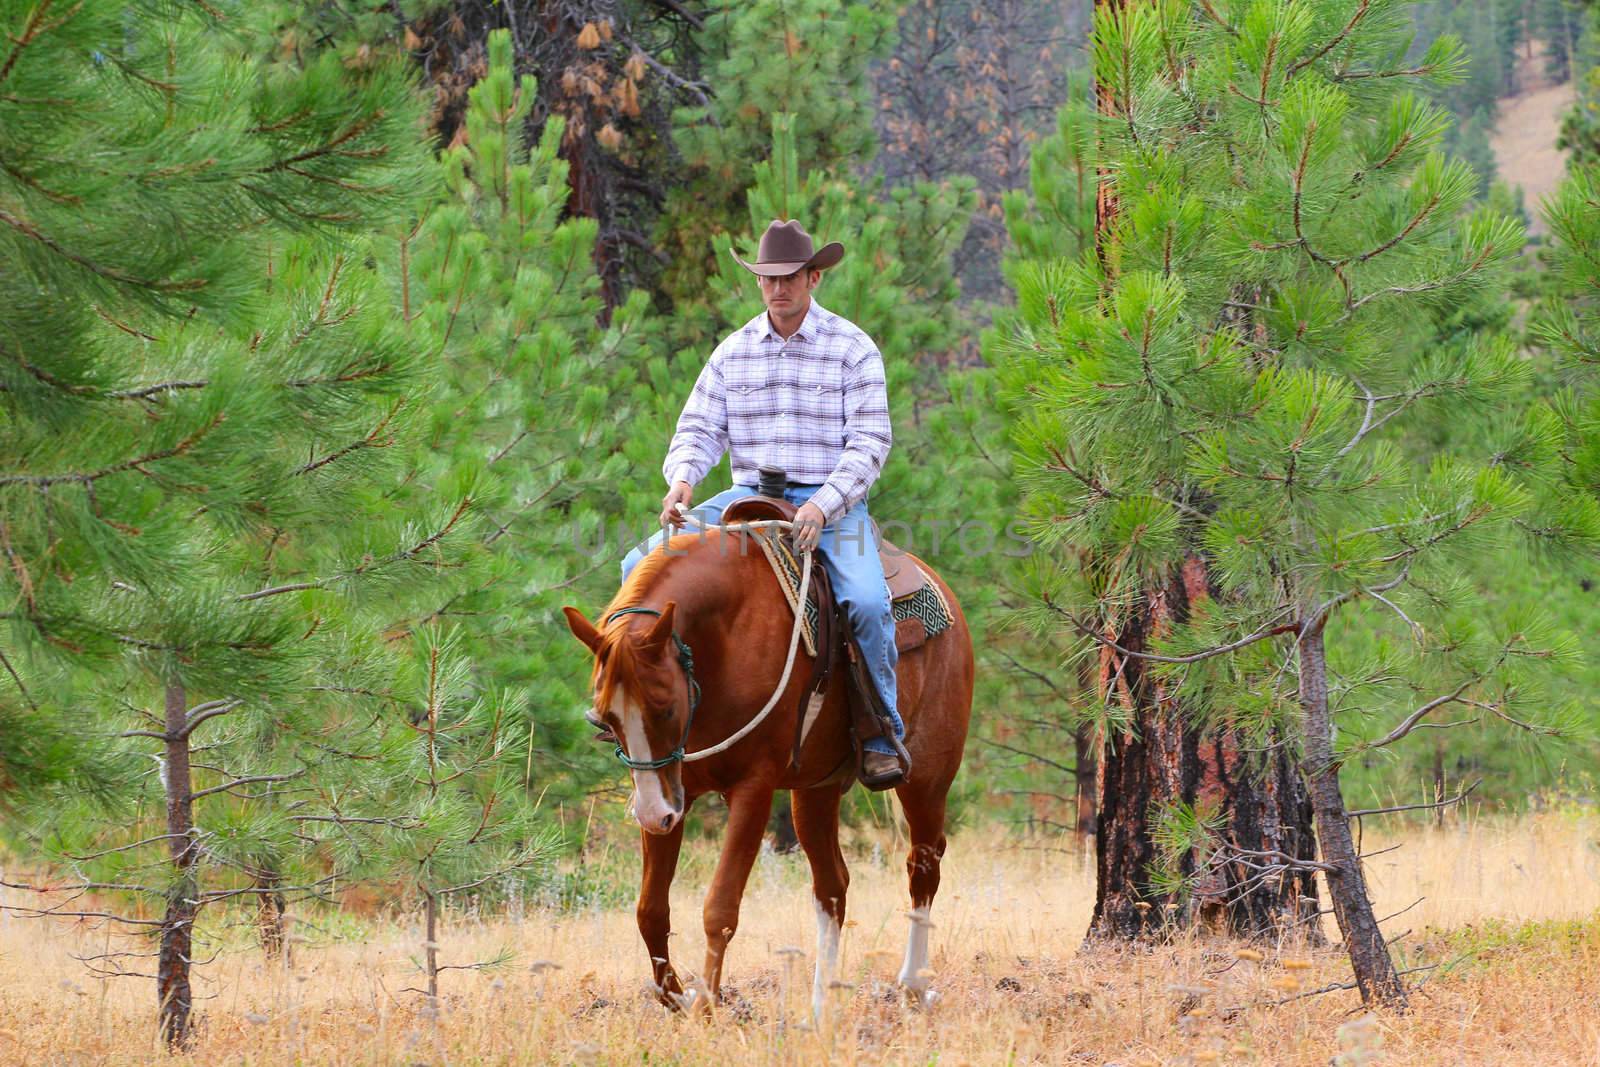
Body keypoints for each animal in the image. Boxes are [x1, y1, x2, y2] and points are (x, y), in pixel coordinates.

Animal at [569, 524, 979, 1017]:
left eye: (664, 708)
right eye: (605, 718)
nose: (649, 814)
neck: (723, 642)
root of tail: (945, 595)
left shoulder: (753, 789)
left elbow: (720, 909)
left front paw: (706, 1008)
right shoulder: (672, 791)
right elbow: (650, 910)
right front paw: (678, 997)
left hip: (927, 778)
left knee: (923, 865)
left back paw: (913, 986)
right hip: (815, 792)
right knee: (833, 887)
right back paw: (822, 1007)